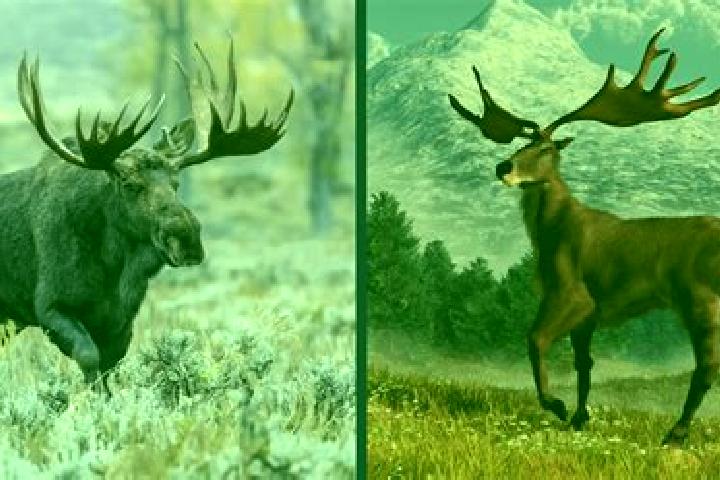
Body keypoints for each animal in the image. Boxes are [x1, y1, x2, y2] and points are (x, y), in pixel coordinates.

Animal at [0, 40, 293, 394]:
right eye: (129, 184)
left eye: (176, 183)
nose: (187, 238)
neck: (113, 267)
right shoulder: (50, 305)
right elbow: (89, 358)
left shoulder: (121, 321)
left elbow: (109, 370)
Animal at [448, 29, 720, 445]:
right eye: (520, 145)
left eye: (545, 149)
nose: (502, 167)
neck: (552, 231)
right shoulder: (589, 314)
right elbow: (584, 365)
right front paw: (578, 418)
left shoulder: (572, 292)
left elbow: (534, 339)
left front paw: (556, 406)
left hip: (700, 297)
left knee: (706, 366)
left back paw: (675, 434)